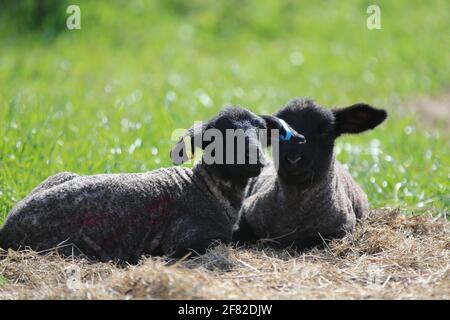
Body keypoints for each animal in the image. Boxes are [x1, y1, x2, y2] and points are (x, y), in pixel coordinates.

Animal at [0, 106, 304, 262]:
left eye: (261, 131)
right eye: (218, 137)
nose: (256, 159)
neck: (205, 188)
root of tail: (8, 226)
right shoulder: (187, 241)